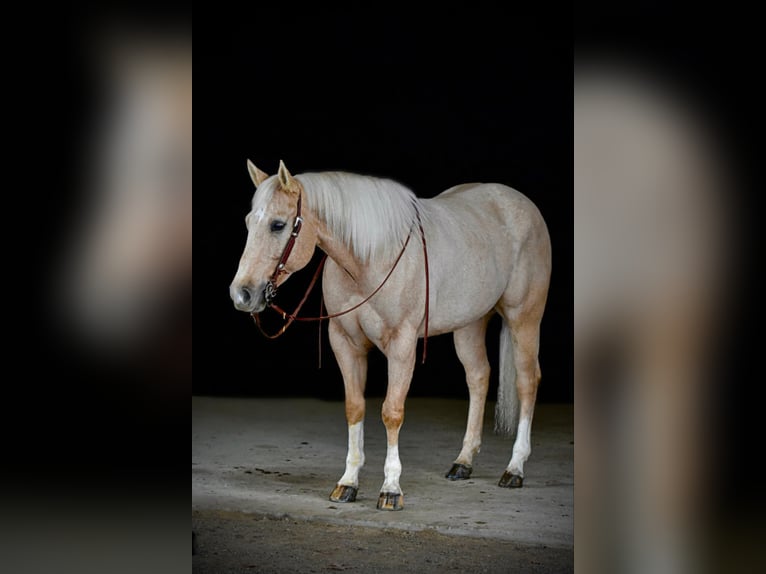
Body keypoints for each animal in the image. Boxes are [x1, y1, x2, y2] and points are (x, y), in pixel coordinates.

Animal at [228, 160, 552, 510]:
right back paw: (463, 462)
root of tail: (522, 205)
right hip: (470, 324)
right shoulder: (345, 343)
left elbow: (391, 412)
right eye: (249, 222)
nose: (242, 294)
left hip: (524, 318)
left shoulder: (402, 346)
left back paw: (514, 468)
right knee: (478, 377)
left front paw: (391, 488)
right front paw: (348, 482)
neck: (370, 260)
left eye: (277, 225)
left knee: (526, 381)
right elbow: (354, 407)